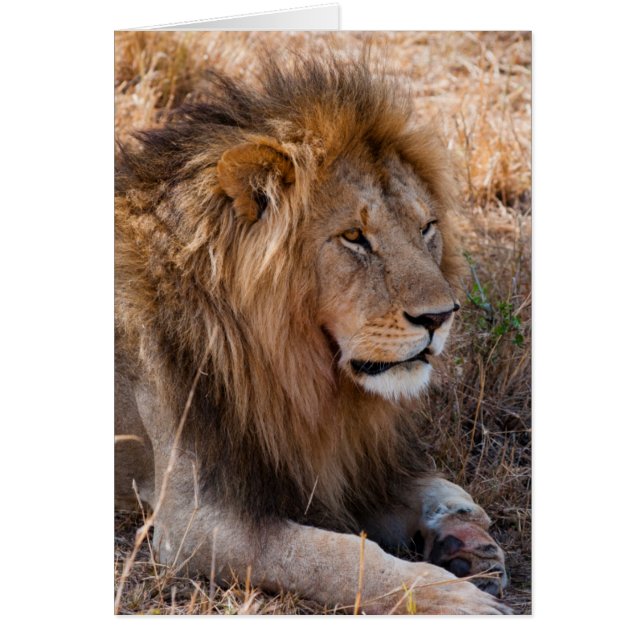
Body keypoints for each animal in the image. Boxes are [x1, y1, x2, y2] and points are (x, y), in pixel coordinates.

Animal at [115, 57, 510, 614]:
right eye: (354, 237)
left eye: (427, 227)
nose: (441, 317)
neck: (300, 376)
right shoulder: (197, 524)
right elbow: (337, 556)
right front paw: (450, 598)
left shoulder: (333, 459)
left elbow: (429, 487)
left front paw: (465, 536)